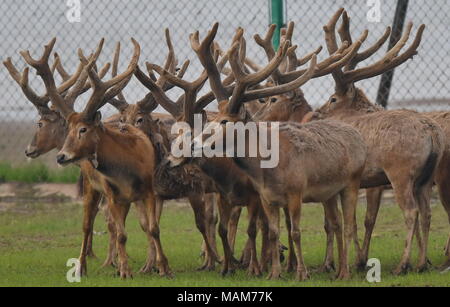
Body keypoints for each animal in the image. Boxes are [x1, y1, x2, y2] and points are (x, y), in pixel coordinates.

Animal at [300, 8, 444, 276]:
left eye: (332, 98)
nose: (316, 113)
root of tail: (432, 132)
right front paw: (357, 261)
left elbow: (349, 221)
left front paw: (349, 263)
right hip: (426, 177)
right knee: (427, 213)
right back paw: (421, 263)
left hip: (401, 172)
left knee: (411, 211)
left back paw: (403, 265)